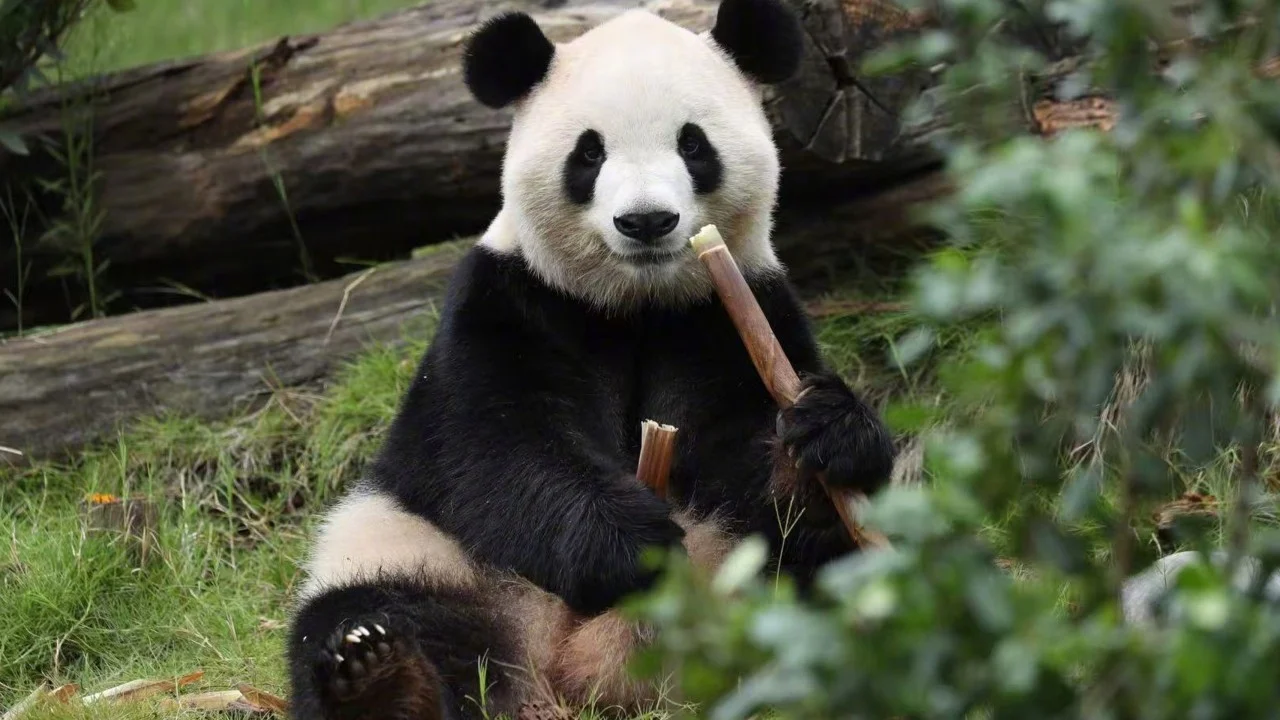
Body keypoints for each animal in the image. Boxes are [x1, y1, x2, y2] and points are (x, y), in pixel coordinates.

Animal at [285, 1, 897, 718]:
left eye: (694, 145)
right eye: (590, 152)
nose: (647, 221)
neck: (635, 303)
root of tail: (569, 670)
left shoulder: (730, 310)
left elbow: (741, 453)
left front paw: (825, 435)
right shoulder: (508, 301)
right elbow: (495, 445)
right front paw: (630, 544)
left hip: (740, 579)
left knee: (825, 575)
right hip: (416, 549)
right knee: (374, 611)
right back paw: (381, 676)